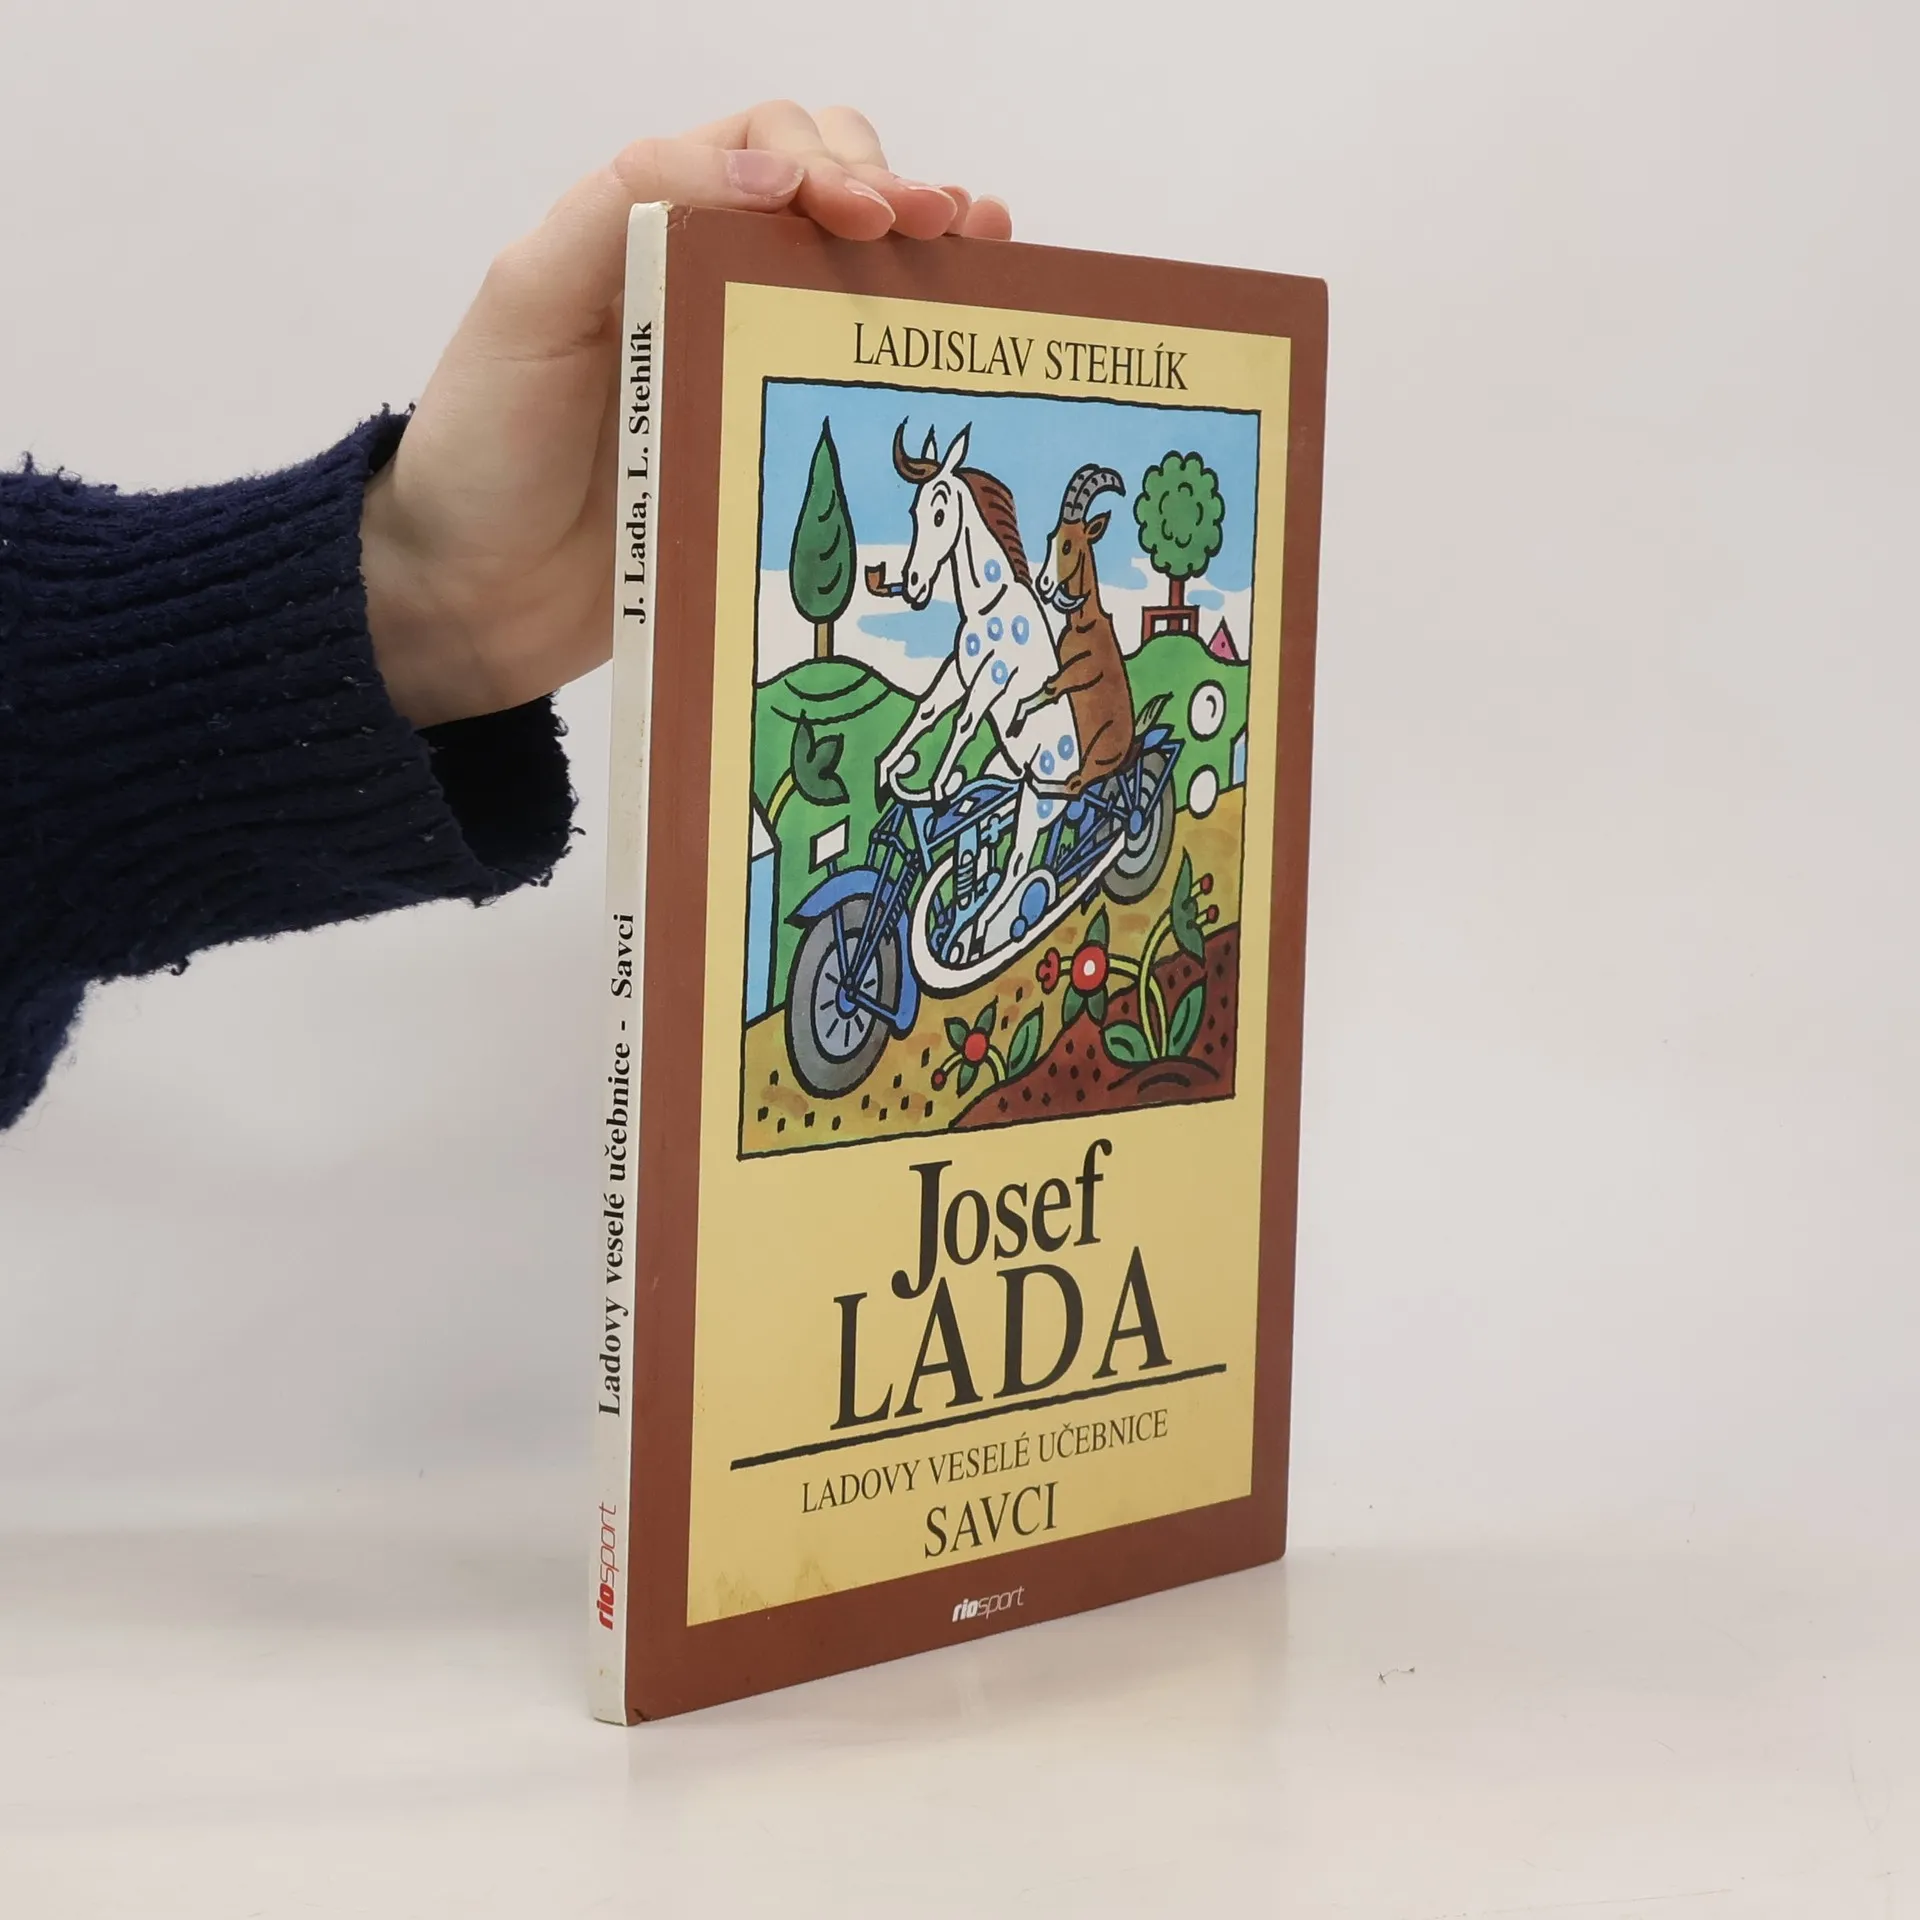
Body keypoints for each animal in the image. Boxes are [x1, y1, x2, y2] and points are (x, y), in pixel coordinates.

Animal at [874, 422, 1084, 957]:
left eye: (940, 513)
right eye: (914, 512)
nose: (912, 585)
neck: (989, 605)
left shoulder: (994, 675)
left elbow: (966, 719)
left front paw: (937, 786)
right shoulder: (959, 671)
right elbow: (929, 710)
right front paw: (891, 767)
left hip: (1035, 805)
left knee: (1017, 870)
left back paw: (985, 930)